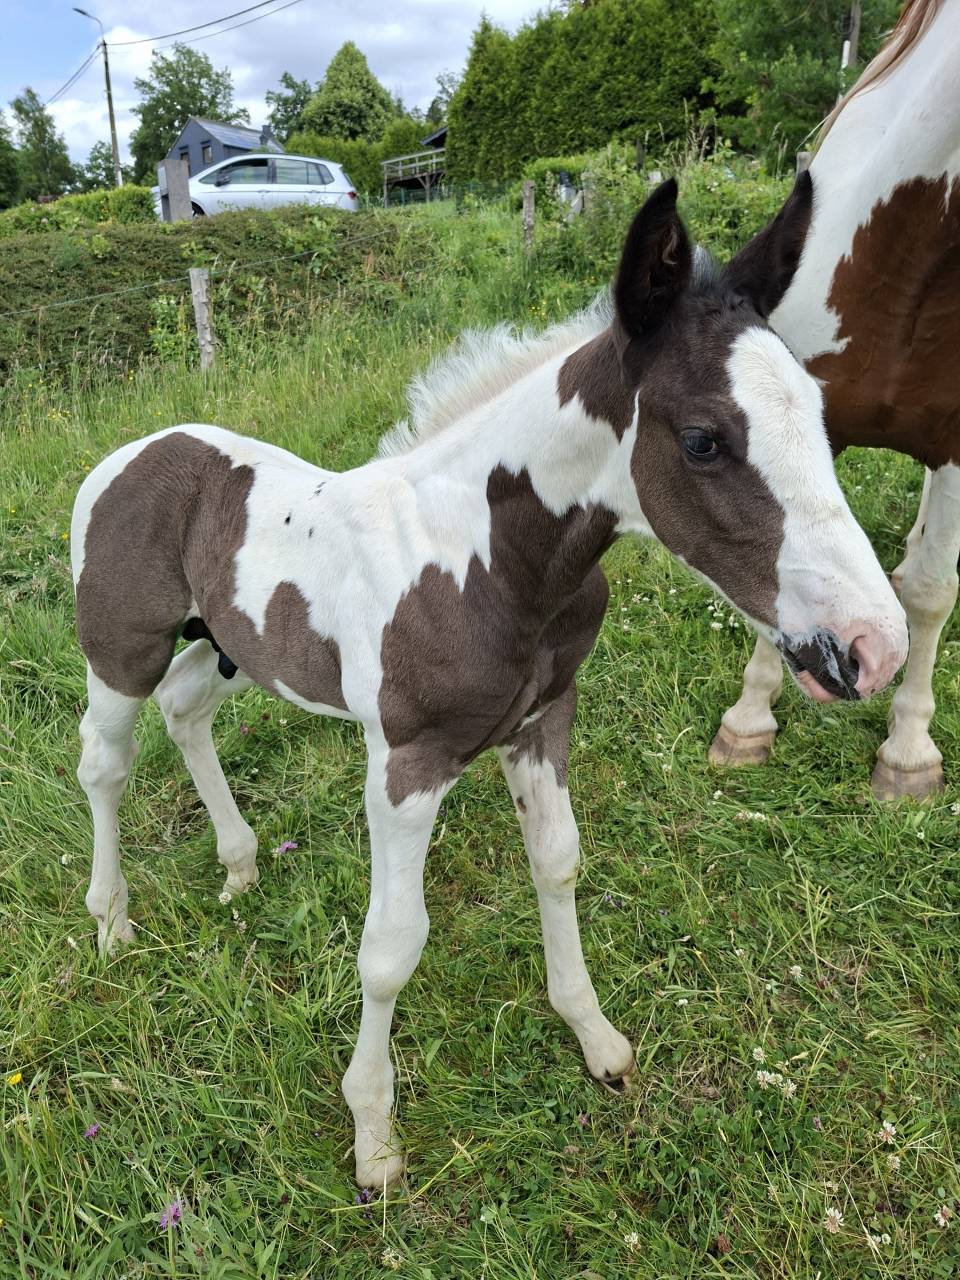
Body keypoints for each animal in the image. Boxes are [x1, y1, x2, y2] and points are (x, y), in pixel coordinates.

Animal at [71, 176, 907, 1190]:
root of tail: (129, 456)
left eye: (821, 416)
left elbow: (558, 861)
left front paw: (595, 1037)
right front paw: (374, 1137)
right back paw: (112, 924)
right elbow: (391, 949)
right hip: (121, 652)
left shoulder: (544, 718)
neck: (485, 560)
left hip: (230, 644)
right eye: (705, 441)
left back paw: (237, 867)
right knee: (105, 765)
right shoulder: (406, 764)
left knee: (187, 709)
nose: (875, 646)